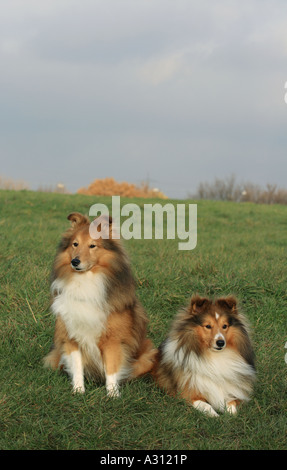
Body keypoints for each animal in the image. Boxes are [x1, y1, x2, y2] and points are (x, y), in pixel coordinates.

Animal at [44, 213, 156, 396]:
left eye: (92, 245)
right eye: (75, 244)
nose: (75, 262)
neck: (85, 282)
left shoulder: (112, 340)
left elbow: (111, 368)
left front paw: (112, 395)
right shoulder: (71, 337)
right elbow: (77, 366)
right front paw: (78, 391)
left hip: (147, 356)